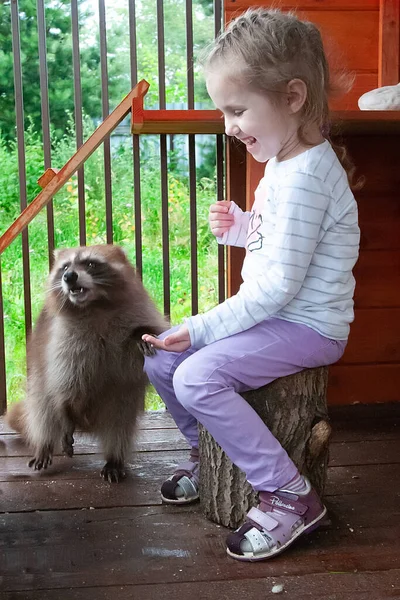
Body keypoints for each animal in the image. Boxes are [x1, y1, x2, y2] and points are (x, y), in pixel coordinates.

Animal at [5, 244, 169, 482]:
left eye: (90, 263)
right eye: (65, 267)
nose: (69, 276)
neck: (94, 306)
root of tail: (89, 424)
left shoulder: (137, 311)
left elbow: (140, 348)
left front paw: (141, 336)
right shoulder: (62, 340)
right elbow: (63, 381)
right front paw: (63, 415)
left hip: (120, 403)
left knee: (119, 428)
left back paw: (114, 458)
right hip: (39, 382)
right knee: (44, 408)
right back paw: (47, 441)